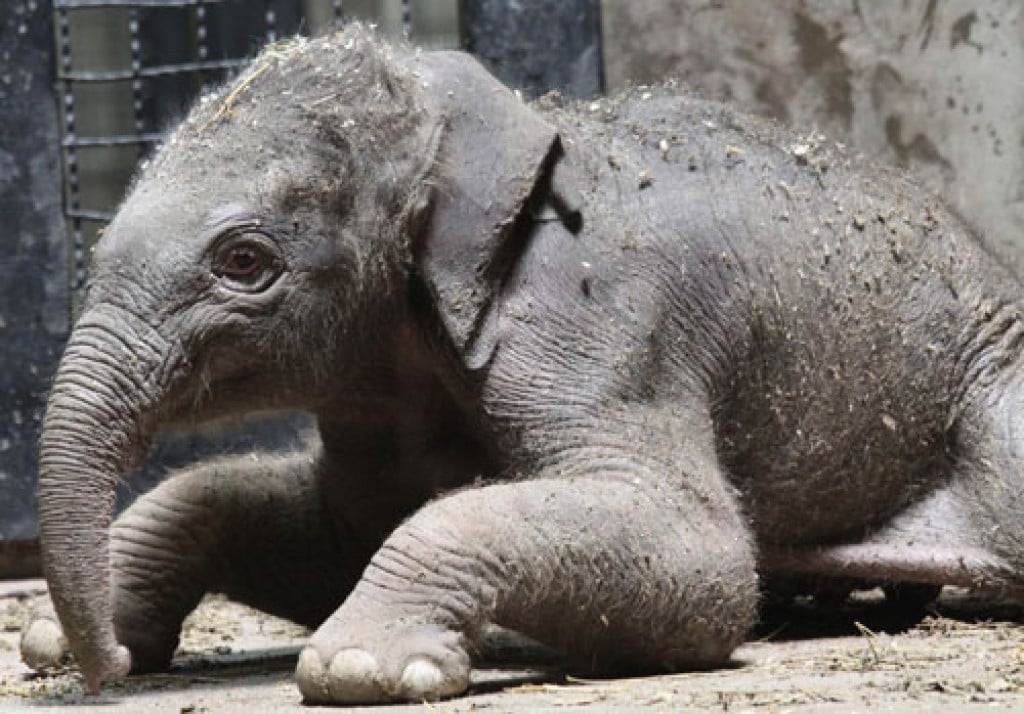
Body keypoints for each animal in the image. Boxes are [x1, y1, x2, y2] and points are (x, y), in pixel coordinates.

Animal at [19, 25, 1024, 704]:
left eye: (243, 261)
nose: (106, 671)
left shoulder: (602, 322)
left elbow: (699, 554)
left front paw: (363, 667)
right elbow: (331, 529)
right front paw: (57, 643)